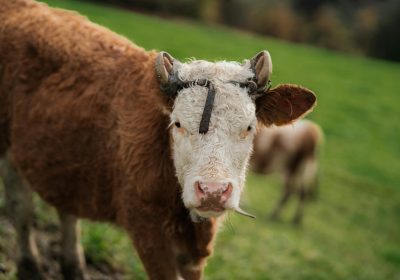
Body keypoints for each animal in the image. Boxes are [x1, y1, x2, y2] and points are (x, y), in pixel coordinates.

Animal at [0, 1, 316, 278]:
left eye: (249, 127)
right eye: (177, 124)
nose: (212, 191)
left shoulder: (193, 250)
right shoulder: (147, 232)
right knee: (21, 206)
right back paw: (30, 265)